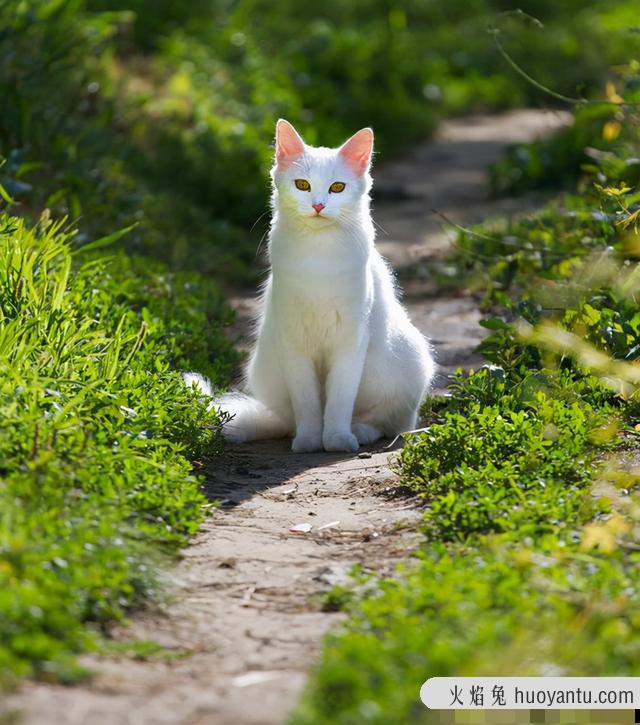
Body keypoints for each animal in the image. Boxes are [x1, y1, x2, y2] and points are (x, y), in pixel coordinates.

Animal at [185, 119, 436, 452]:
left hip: (406, 367)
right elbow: (307, 404)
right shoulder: (294, 342)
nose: (318, 205)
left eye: (337, 187)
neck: (318, 256)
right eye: (302, 185)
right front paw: (309, 441)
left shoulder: (350, 340)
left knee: (390, 423)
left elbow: (340, 400)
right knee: (293, 420)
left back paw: (360, 432)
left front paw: (337, 440)